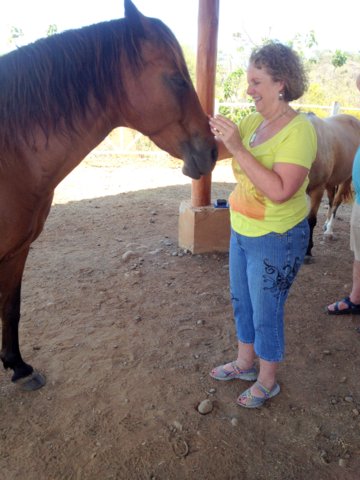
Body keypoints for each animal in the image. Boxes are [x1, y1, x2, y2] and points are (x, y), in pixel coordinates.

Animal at [0, 0, 217, 390]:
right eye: (177, 78)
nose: (213, 151)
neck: (10, 154)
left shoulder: (17, 251)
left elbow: (11, 308)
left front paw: (19, 367)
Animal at [306, 111, 360, 262]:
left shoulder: (317, 190)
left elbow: (311, 220)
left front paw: (308, 251)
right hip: (331, 182)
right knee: (331, 201)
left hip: (346, 179)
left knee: (336, 202)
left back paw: (329, 230)